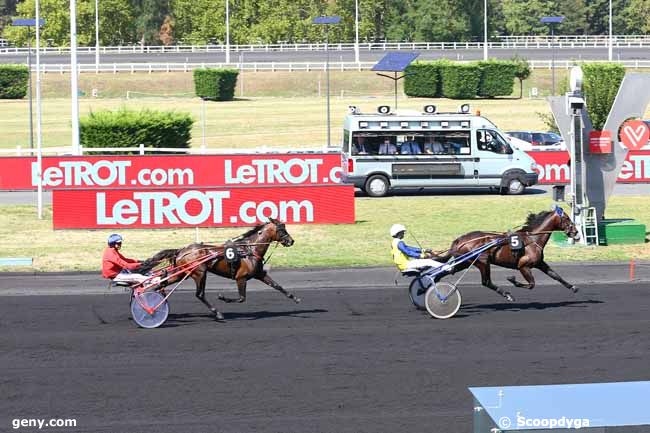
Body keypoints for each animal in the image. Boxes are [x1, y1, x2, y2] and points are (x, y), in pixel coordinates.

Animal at [139, 218, 298, 318]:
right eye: (281, 229)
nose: (291, 241)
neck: (249, 250)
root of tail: (181, 250)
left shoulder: (259, 274)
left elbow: (277, 286)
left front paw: (295, 298)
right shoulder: (241, 278)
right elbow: (241, 298)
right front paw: (223, 297)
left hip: (181, 272)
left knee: (161, 283)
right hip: (200, 272)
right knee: (199, 294)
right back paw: (218, 313)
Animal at [436, 206, 576, 300]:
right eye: (567, 218)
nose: (575, 231)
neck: (532, 238)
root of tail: (460, 240)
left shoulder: (539, 263)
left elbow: (555, 275)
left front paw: (573, 287)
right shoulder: (523, 266)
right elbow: (531, 284)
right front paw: (512, 280)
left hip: (465, 261)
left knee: (448, 271)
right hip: (482, 262)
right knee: (486, 282)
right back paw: (507, 295)